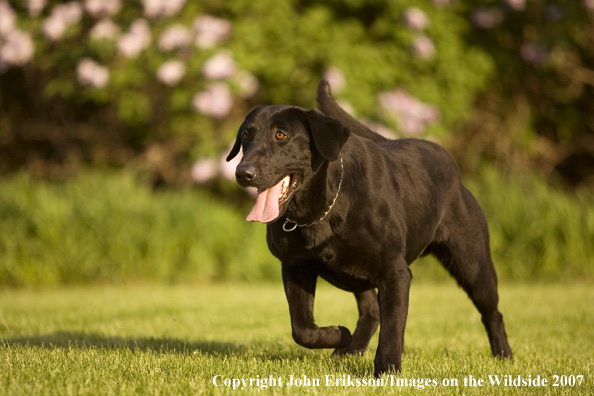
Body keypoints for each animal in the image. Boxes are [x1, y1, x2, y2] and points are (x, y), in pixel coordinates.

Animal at [224, 79, 512, 376]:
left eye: (281, 135)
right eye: (245, 136)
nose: (243, 173)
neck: (321, 211)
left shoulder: (395, 272)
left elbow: (393, 327)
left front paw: (387, 369)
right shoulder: (295, 266)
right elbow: (302, 328)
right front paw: (339, 334)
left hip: (472, 264)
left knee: (493, 312)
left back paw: (504, 355)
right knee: (371, 310)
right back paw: (350, 348)